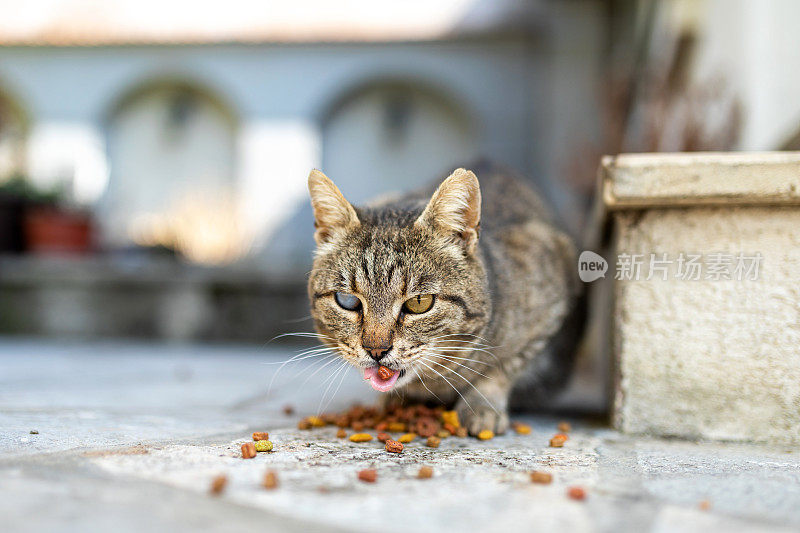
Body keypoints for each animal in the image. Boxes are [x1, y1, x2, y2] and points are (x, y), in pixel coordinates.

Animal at [308, 163, 580, 436]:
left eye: (419, 302)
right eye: (347, 300)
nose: (376, 350)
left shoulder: (551, 303)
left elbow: (501, 368)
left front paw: (481, 406)